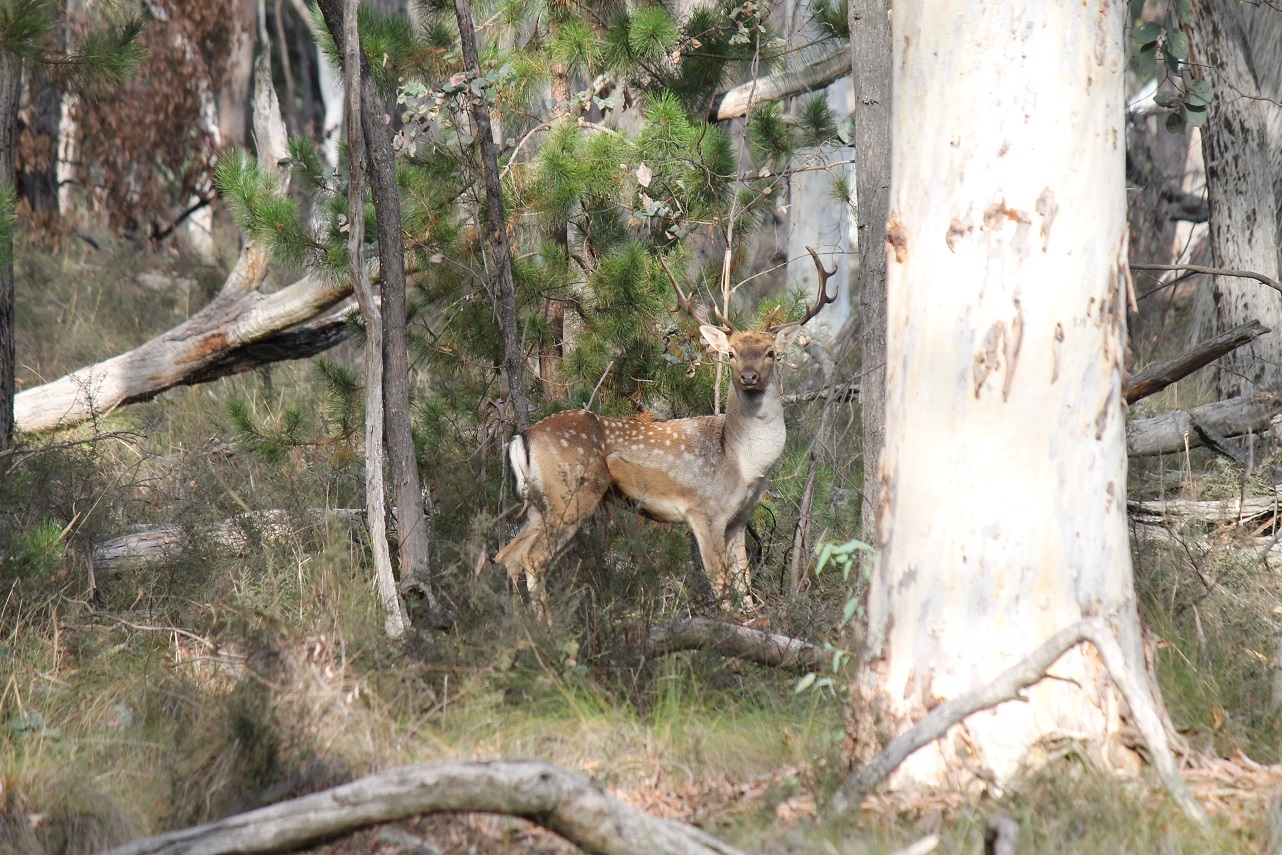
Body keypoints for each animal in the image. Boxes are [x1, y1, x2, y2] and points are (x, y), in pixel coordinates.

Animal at [495, 248, 838, 611]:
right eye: (731, 353)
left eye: (771, 353)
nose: (748, 376)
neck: (743, 464)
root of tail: (522, 437)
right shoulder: (704, 510)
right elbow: (720, 583)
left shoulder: (738, 518)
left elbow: (744, 586)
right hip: (571, 492)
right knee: (533, 557)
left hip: (539, 503)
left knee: (508, 555)